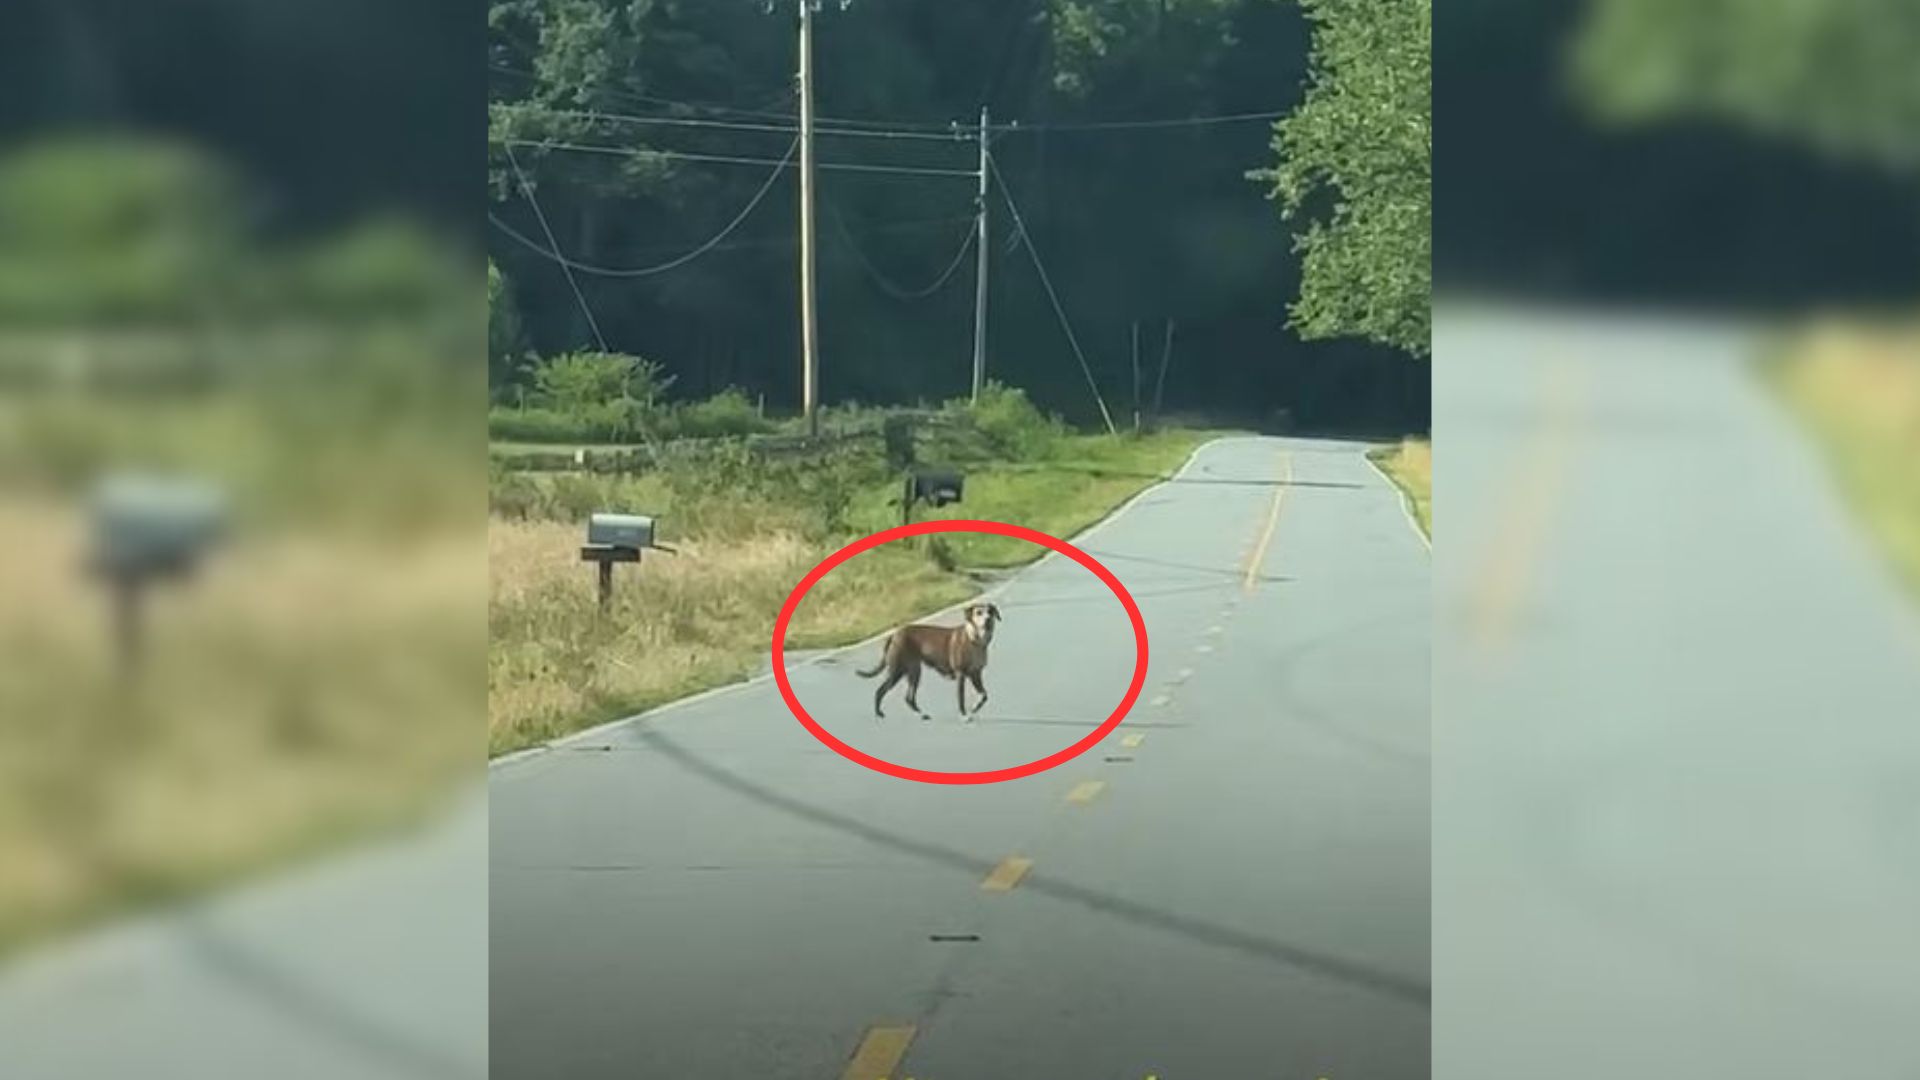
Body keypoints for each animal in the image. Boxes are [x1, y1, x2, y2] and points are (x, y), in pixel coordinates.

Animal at [860, 599, 1006, 718]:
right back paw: (878, 714)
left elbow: (984, 695)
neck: (975, 639)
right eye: (978, 612)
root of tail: (895, 634)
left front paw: (975, 707)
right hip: (897, 670)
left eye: (990, 612)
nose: (988, 620)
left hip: (914, 671)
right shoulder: (961, 674)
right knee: (880, 691)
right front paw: (964, 715)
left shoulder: (976, 674)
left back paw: (922, 714)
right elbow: (961, 698)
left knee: (909, 698)